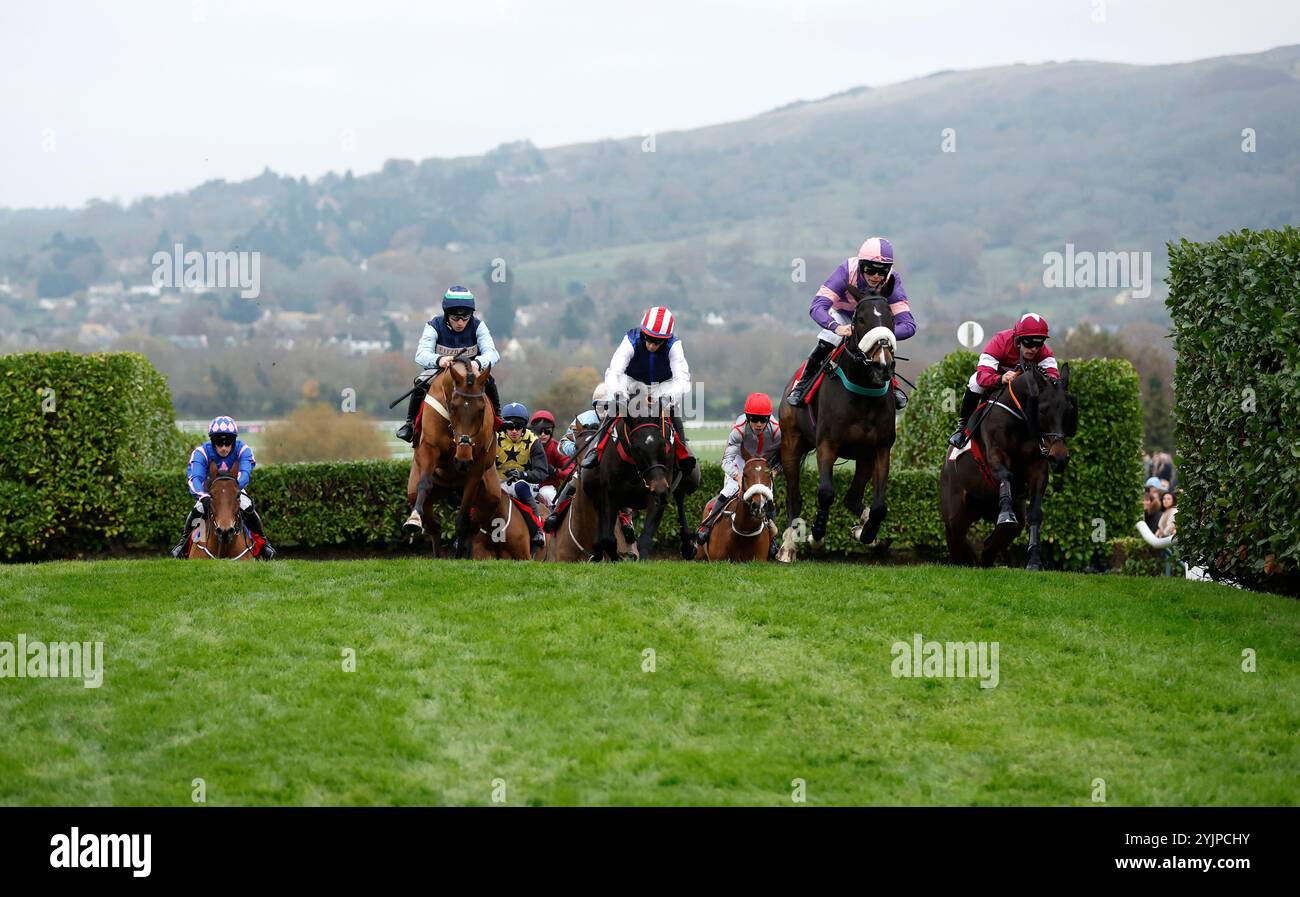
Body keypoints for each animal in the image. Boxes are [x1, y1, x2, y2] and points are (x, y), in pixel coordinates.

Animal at [403, 358, 493, 556]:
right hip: (419, 492)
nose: (463, 461)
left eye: (481, 409)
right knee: (434, 527)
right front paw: (413, 519)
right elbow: (424, 483)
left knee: (475, 526)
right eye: (453, 407)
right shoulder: (429, 449)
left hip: (491, 495)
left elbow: (464, 515)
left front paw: (459, 550)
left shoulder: (478, 463)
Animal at [774, 293, 899, 559]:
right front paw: (815, 536)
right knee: (794, 497)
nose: (883, 365)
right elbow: (826, 493)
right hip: (791, 443)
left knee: (852, 499)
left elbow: (879, 506)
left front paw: (867, 533)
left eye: (892, 319)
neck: (862, 393)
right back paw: (788, 547)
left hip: (863, 456)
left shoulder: (880, 448)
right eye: (860, 319)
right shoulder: (827, 444)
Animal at [941, 356, 1081, 566]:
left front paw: (1034, 560)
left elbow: (1035, 513)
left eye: (1069, 410)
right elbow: (1006, 474)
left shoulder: (1038, 468)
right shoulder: (995, 455)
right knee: (958, 543)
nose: (1059, 458)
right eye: (1043, 410)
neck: (1021, 418)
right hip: (955, 516)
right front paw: (1006, 513)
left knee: (992, 545)